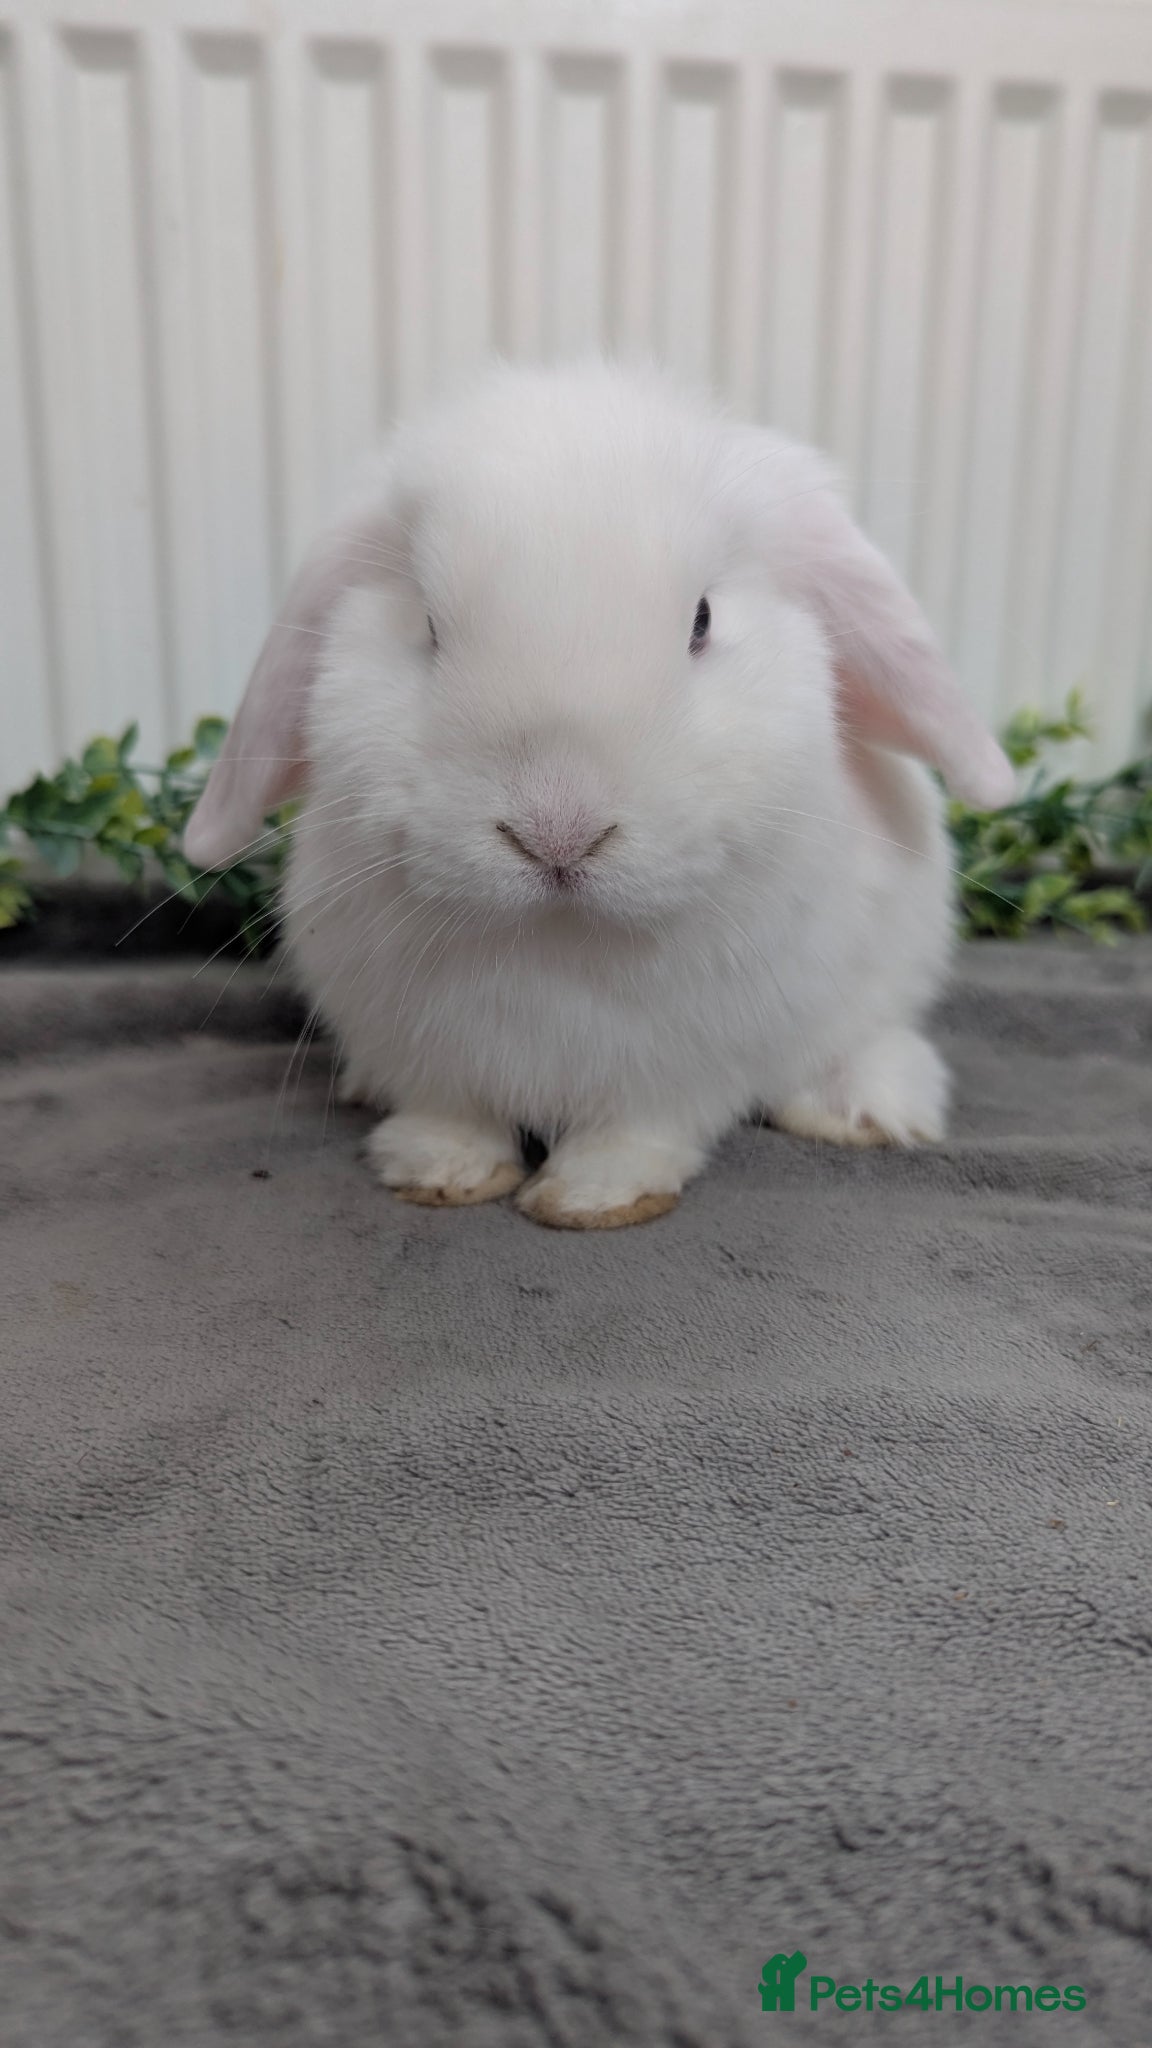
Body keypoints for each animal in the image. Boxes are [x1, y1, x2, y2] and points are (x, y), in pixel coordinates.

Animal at [184, 359, 1013, 1229]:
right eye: (429, 628)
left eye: (702, 620)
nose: (557, 832)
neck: (562, 942)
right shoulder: (428, 1053)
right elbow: (452, 1113)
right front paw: (440, 1171)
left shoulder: (683, 1066)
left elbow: (640, 1128)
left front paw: (594, 1197)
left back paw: (870, 1108)